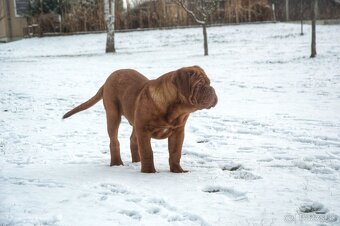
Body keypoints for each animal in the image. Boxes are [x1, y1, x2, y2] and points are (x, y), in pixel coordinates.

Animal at [63, 65, 218, 173]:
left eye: (209, 83)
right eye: (199, 85)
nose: (212, 89)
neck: (175, 110)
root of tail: (107, 80)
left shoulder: (178, 132)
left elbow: (175, 153)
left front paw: (177, 171)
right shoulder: (143, 130)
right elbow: (147, 151)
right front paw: (149, 172)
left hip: (133, 122)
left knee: (132, 140)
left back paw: (137, 161)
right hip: (113, 116)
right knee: (114, 141)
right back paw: (117, 163)